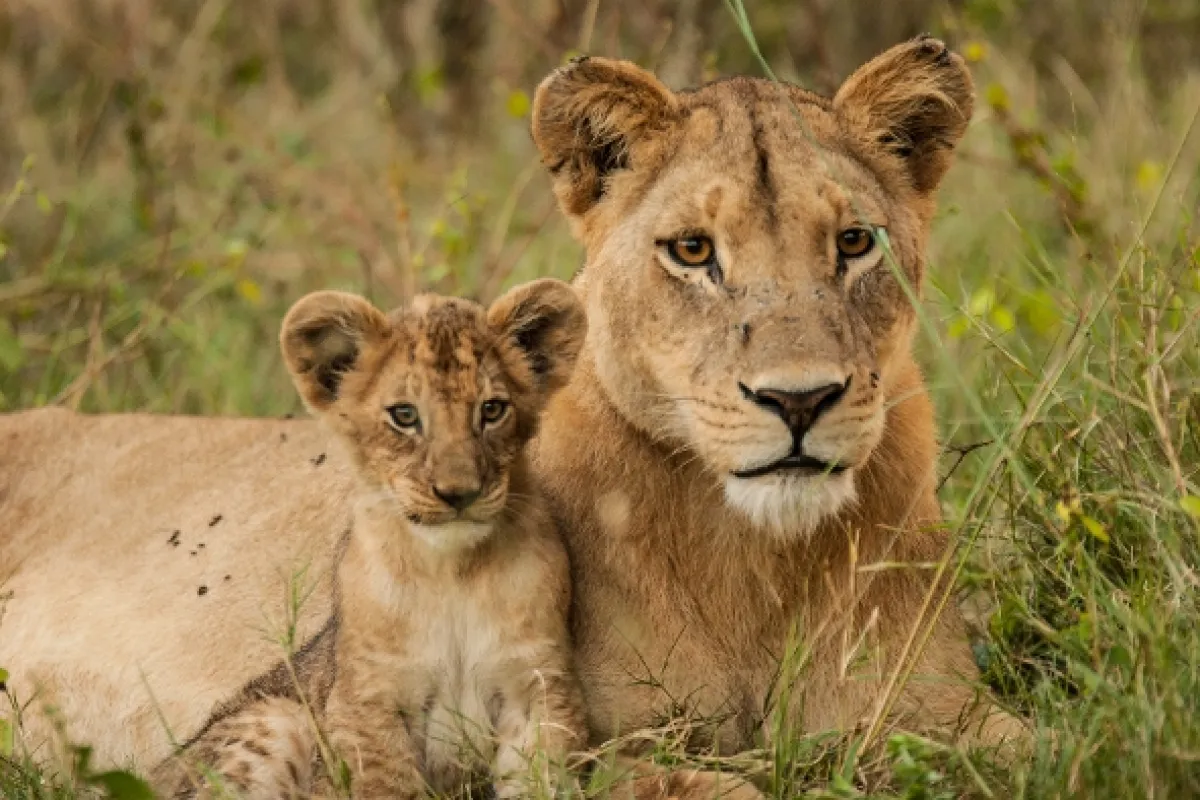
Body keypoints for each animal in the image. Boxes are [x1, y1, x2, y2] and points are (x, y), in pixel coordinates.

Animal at [151, 282, 587, 799]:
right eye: (404, 415)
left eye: (492, 409)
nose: (459, 493)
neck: (452, 573)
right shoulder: (368, 703)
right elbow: (388, 784)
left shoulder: (539, 688)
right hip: (276, 717)